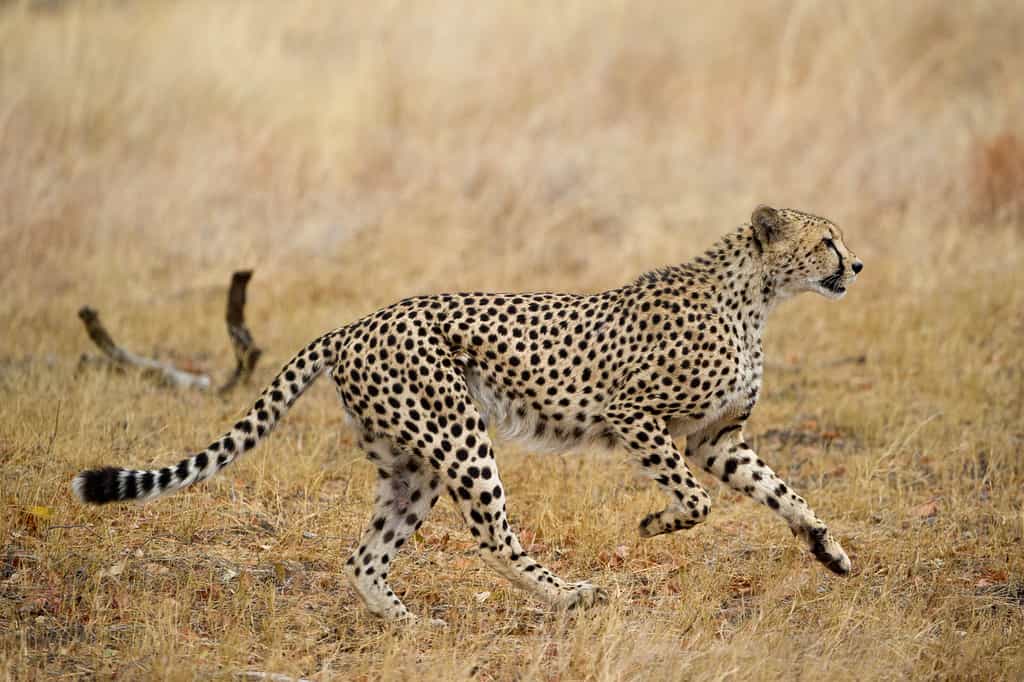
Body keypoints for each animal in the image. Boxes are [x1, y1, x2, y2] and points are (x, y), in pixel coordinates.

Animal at [73, 204, 863, 623]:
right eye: (826, 239)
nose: (857, 266)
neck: (757, 296)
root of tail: (356, 322)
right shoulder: (635, 416)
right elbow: (697, 502)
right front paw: (652, 524)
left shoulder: (717, 439)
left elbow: (785, 494)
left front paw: (830, 552)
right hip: (460, 438)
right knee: (492, 537)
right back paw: (568, 595)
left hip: (414, 464)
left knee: (365, 555)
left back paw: (405, 624)